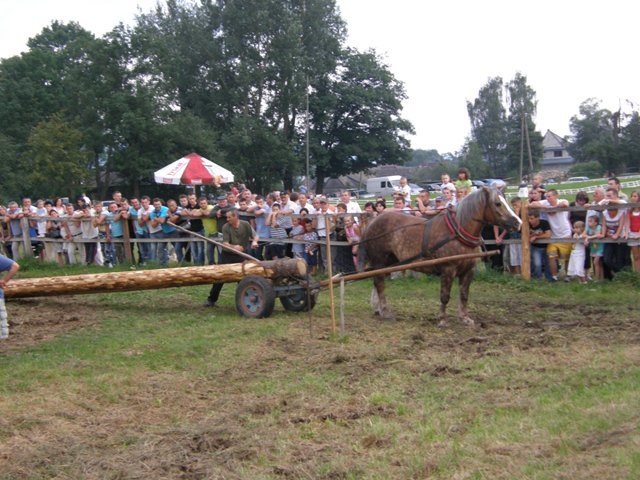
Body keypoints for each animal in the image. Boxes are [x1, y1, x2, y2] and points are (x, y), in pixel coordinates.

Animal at [362, 188, 524, 326]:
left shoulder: (469, 270)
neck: (458, 233)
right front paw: (442, 319)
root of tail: (372, 222)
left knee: (378, 280)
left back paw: (378, 309)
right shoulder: (448, 269)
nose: (518, 222)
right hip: (380, 260)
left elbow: (464, 295)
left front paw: (465, 318)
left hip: (390, 261)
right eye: (497, 203)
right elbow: (445, 296)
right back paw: (385, 311)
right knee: (379, 283)